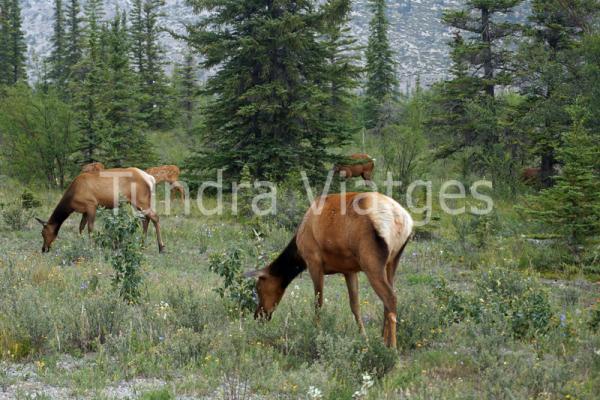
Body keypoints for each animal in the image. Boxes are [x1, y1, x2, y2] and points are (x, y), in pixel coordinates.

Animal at [36, 167, 165, 252]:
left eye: (43, 233)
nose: (44, 249)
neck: (71, 200)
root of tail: (150, 178)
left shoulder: (92, 205)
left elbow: (90, 228)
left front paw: (92, 246)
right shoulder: (84, 211)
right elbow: (81, 227)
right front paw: (82, 243)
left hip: (141, 200)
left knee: (155, 217)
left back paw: (161, 247)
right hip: (137, 203)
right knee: (145, 219)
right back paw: (142, 245)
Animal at [246, 192, 414, 348]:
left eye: (259, 287)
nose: (258, 315)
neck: (298, 252)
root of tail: (401, 219)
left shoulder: (314, 262)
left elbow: (318, 303)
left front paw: (317, 333)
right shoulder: (349, 270)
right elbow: (355, 306)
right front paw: (364, 338)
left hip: (371, 263)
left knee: (390, 298)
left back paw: (392, 347)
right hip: (392, 261)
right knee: (389, 299)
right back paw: (382, 340)